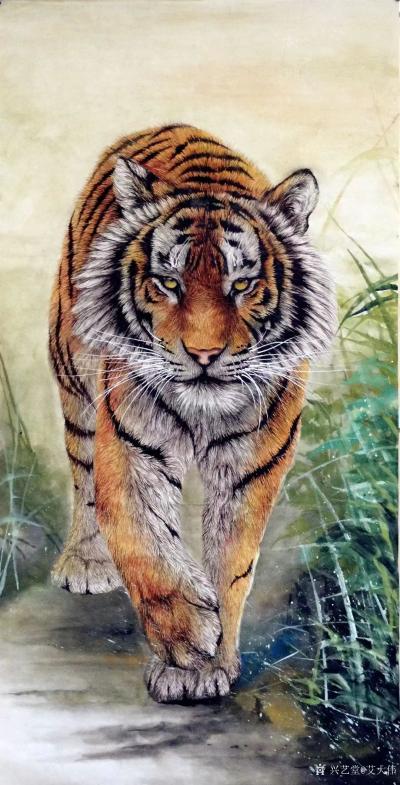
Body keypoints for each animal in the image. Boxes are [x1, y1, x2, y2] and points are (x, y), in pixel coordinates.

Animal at [49, 123, 337, 703]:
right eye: (169, 283)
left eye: (242, 285)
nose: (204, 356)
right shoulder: (131, 451)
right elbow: (143, 543)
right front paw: (187, 639)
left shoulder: (252, 468)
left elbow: (232, 563)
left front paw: (208, 666)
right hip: (73, 372)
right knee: (83, 470)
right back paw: (87, 563)